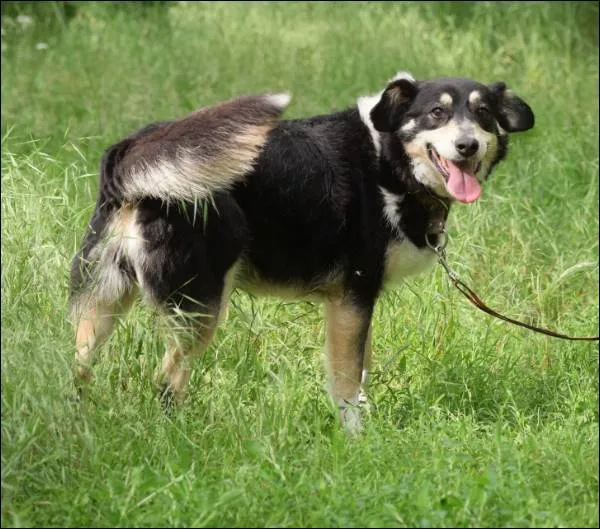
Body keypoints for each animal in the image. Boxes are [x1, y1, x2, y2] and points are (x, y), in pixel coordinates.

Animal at [70, 71, 536, 434]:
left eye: (483, 114)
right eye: (436, 113)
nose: (467, 146)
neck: (387, 159)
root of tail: (131, 149)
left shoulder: (355, 304)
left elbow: (360, 372)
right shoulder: (352, 297)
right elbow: (347, 384)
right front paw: (357, 439)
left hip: (104, 298)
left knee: (79, 365)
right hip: (199, 307)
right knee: (166, 381)